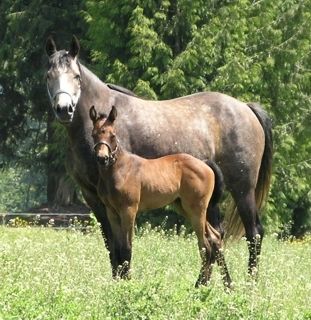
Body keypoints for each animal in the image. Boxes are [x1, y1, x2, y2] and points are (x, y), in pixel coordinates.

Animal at [90, 105, 232, 288]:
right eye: (94, 134)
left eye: (112, 135)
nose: (103, 158)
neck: (119, 169)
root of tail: (205, 163)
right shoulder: (111, 212)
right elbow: (117, 248)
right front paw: (118, 282)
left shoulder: (129, 210)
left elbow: (127, 248)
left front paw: (128, 283)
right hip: (184, 208)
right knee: (215, 239)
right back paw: (226, 284)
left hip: (197, 210)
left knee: (205, 246)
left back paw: (199, 285)